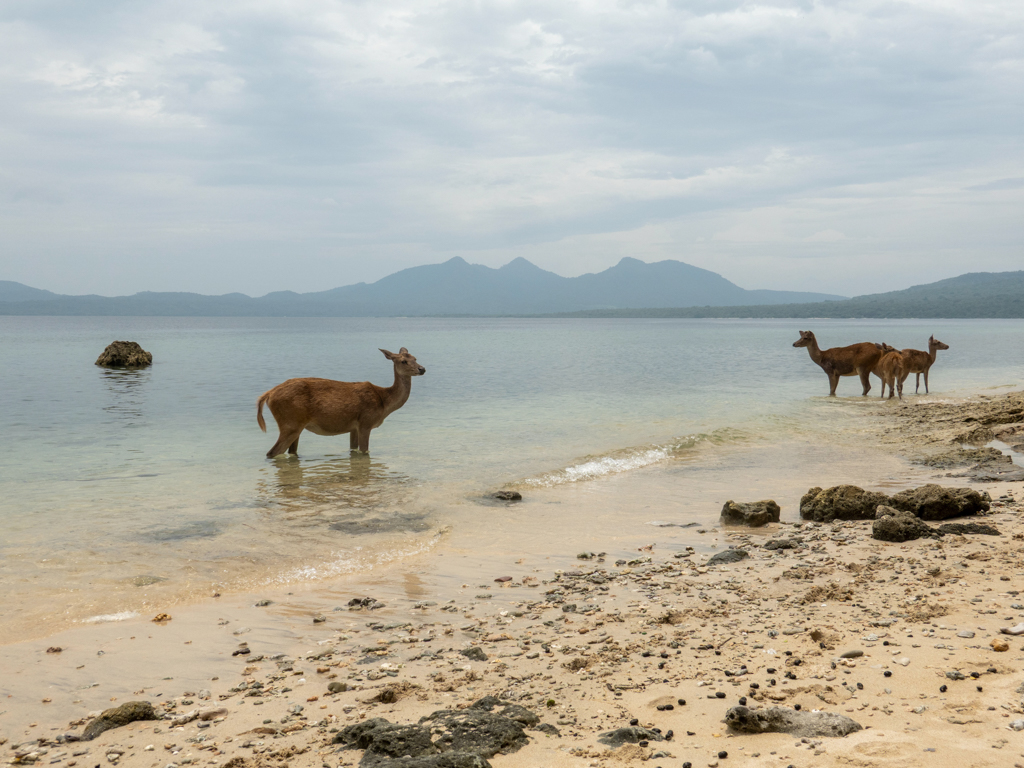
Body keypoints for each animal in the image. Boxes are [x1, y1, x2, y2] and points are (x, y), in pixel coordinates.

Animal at [262, 352, 430, 460]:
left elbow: (353, 449)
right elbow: (364, 451)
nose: (422, 369)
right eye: (403, 361)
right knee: (272, 452)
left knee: (291, 451)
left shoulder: (353, 427)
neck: (384, 403)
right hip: (290, 423)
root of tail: (268, 395)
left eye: (415, 358)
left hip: (295, 426)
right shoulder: (366, 422)